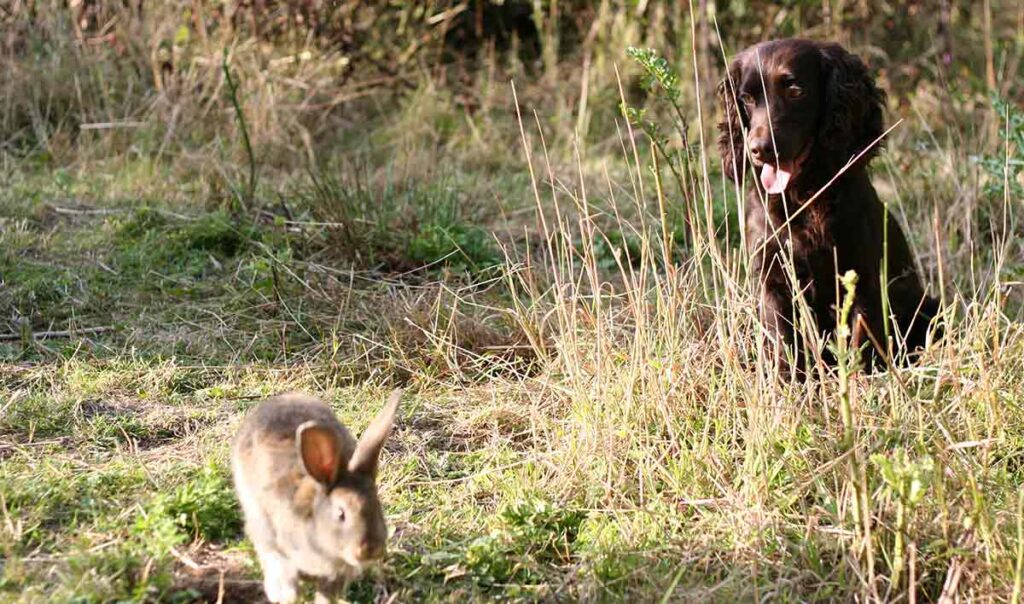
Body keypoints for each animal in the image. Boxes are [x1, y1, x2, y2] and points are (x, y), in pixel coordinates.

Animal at [716, 39, 937, 374]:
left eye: (795, 91)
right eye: (747, 98)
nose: (759, 150)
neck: (802, 197)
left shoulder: (861, 281)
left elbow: (861, 348)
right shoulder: (773, 282)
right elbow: (783, 349)